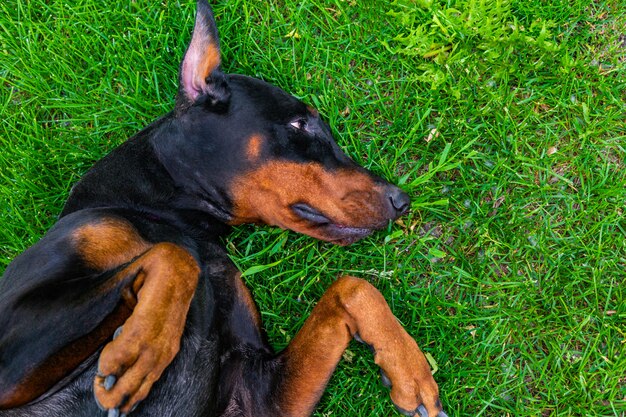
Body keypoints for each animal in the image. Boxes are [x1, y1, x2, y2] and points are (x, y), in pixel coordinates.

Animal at [0, 1, 446, 414]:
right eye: (300, 124)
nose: (401, 200)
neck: (179, 220)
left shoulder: (253, 393)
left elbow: (353, 286)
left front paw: (410, 371)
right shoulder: (10, 345)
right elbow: (177, 256)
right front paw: (140, 351)